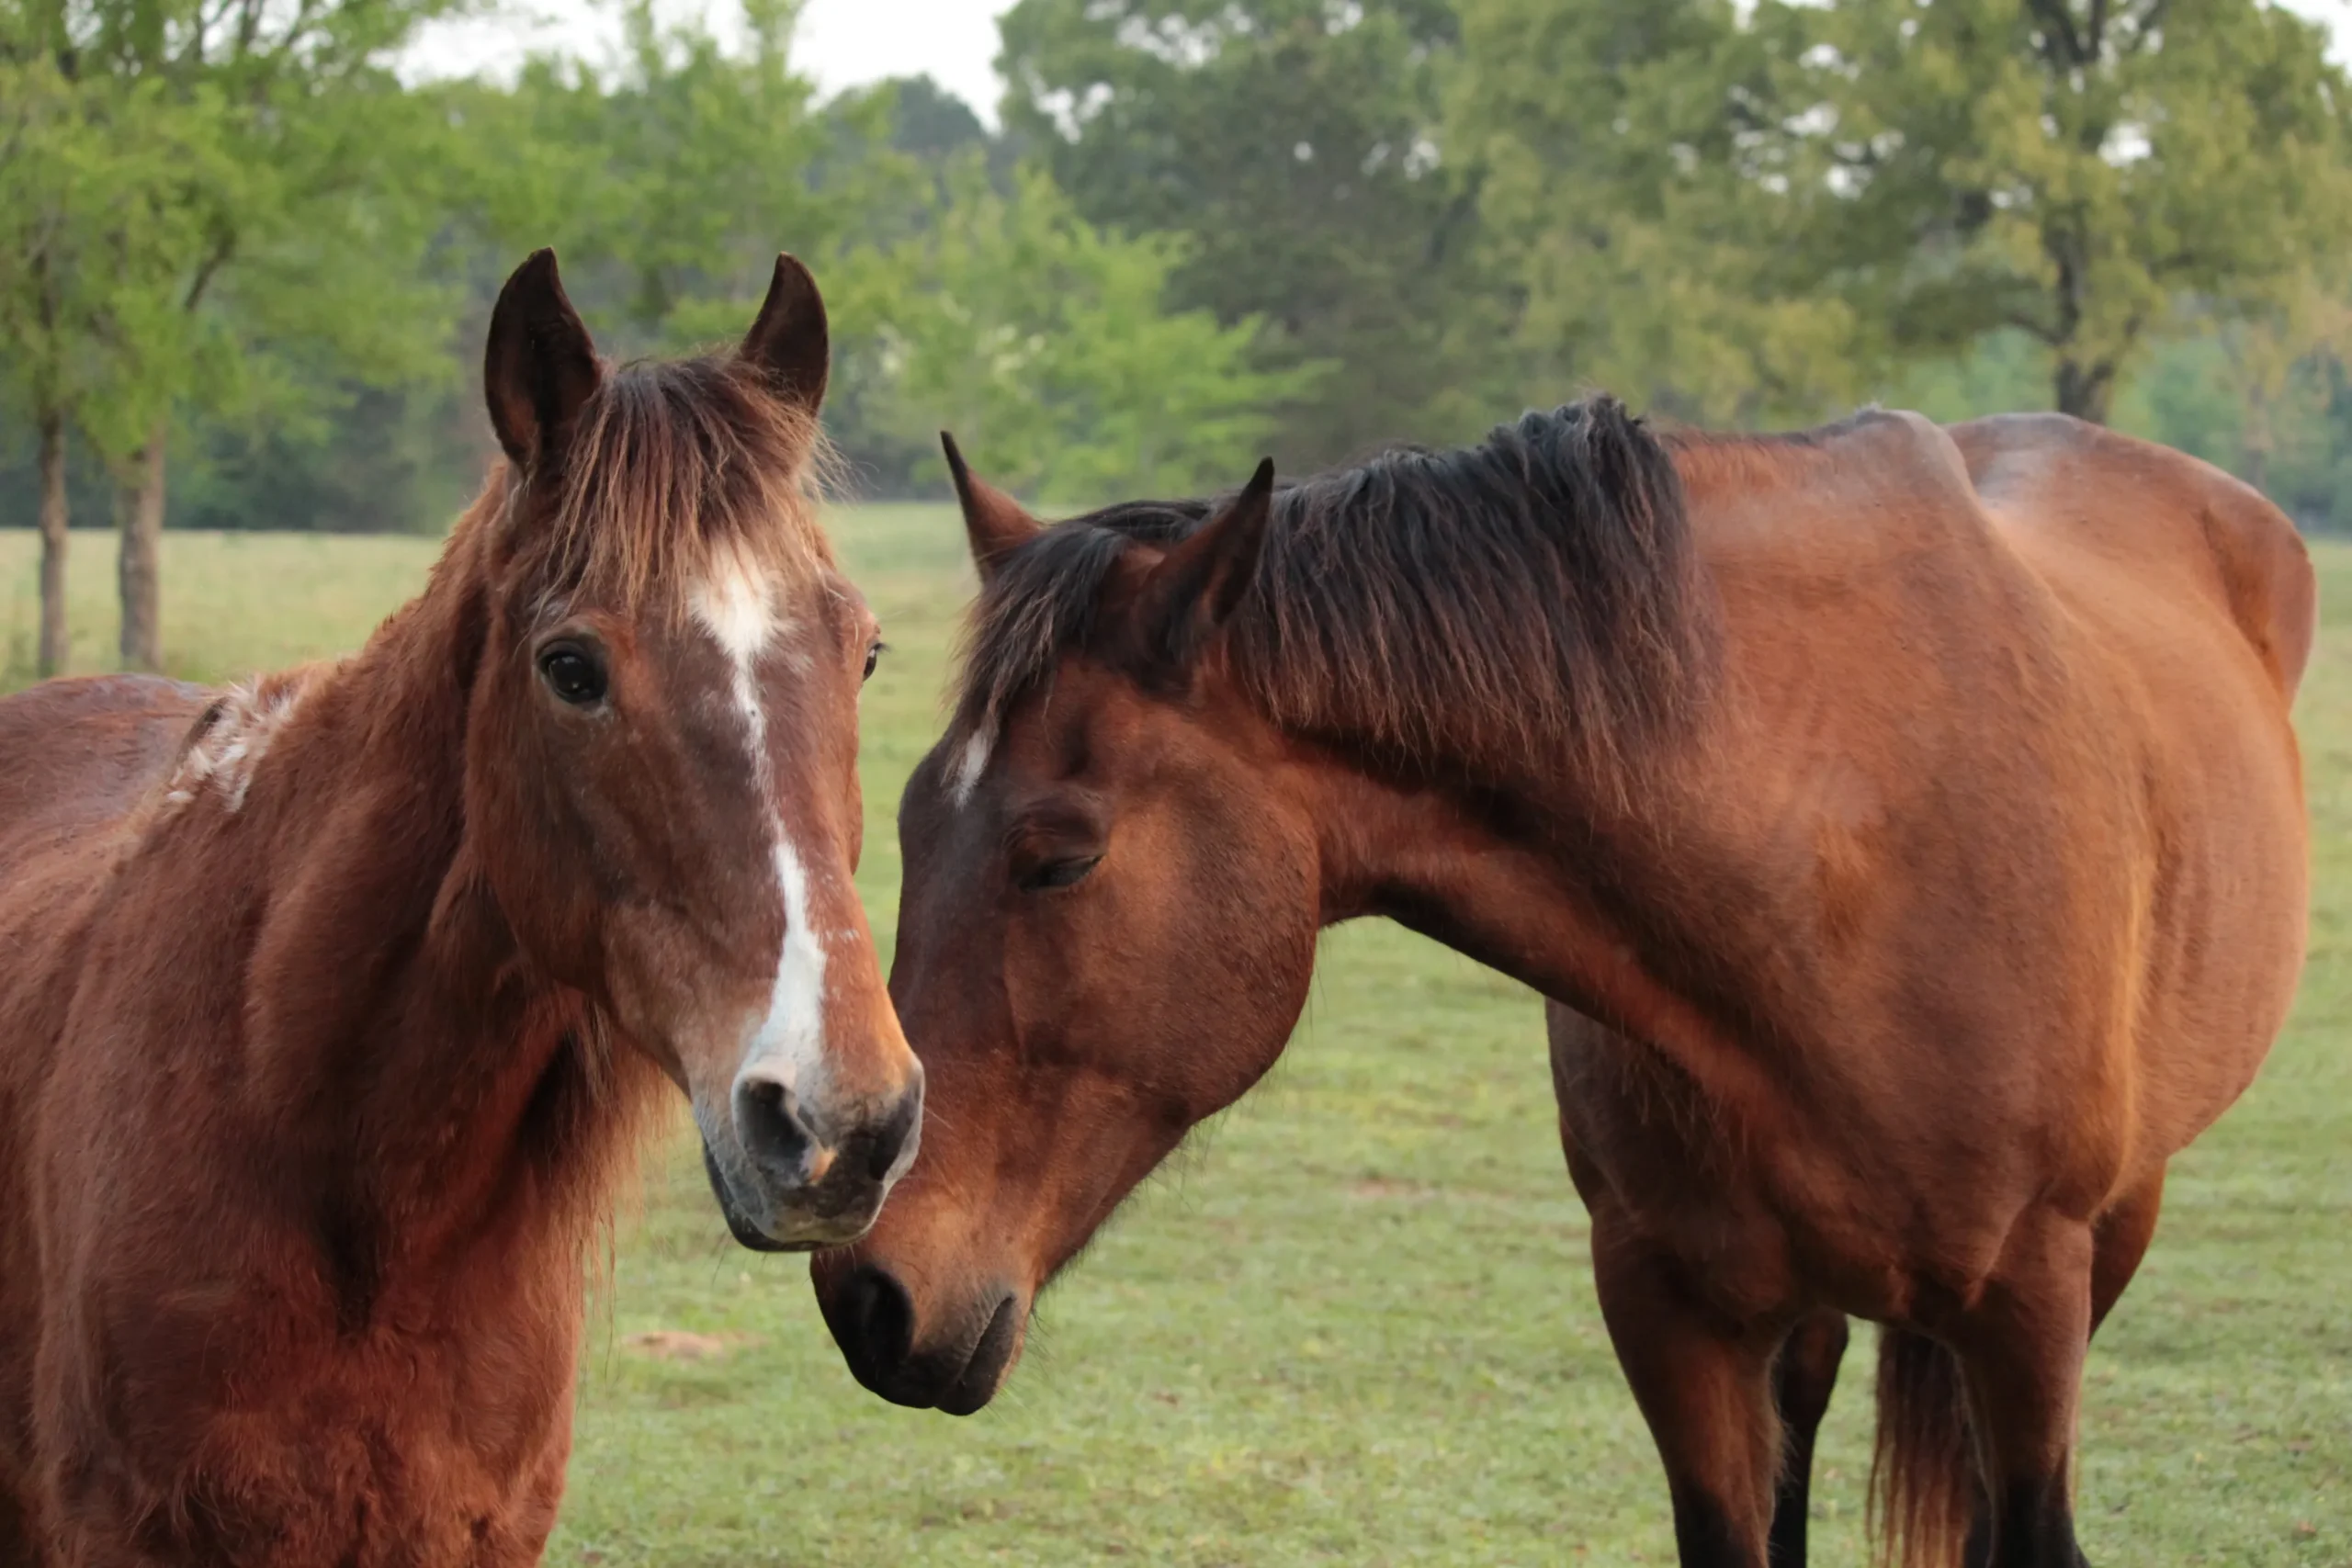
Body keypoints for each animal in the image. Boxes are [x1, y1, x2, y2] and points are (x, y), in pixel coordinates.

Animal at [811, 405, 2312, 1568]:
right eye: (909, 822)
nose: (865, 1294)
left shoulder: (2031, 1309)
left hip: (2111, 1230)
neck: (1838, 856)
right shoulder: (1668, 1307)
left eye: (1059, 856)